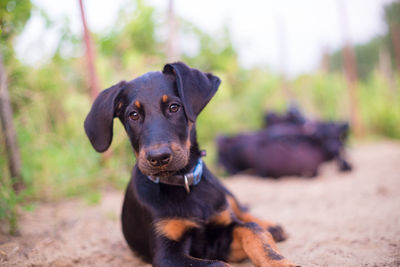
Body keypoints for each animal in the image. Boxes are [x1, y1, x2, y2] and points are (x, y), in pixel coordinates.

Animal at [84, 61, 296, 266]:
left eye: (174, 107)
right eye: (133, 115)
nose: (158, 157)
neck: (183, 182)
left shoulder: (222, 231)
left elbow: (253, 231)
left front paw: (279, 261)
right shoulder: (167, 252)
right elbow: (217, 264)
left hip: (224, 192)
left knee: (241, 209)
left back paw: (270, 225)